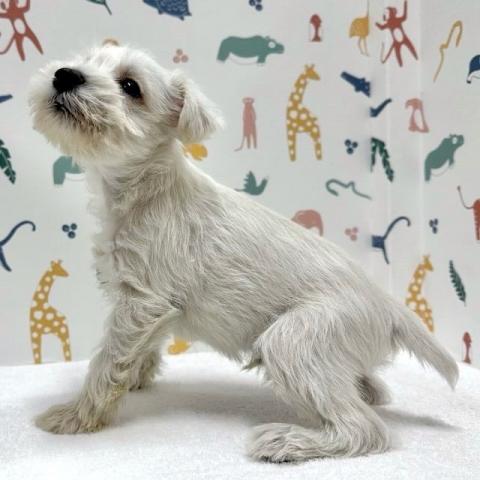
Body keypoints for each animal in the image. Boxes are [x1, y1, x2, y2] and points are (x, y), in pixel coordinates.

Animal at [28, 43, 458, 463]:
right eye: (85, 61)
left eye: (131, 86)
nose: (65, 74)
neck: (143, 189)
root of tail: (389, 306)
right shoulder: (149, 308)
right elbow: (138, 352)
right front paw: (136, 378)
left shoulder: (141, 303)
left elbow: (107, 361)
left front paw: (75, 416)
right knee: (369, 390)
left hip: (292, 340)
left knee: (363, 428)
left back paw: (287, 441)